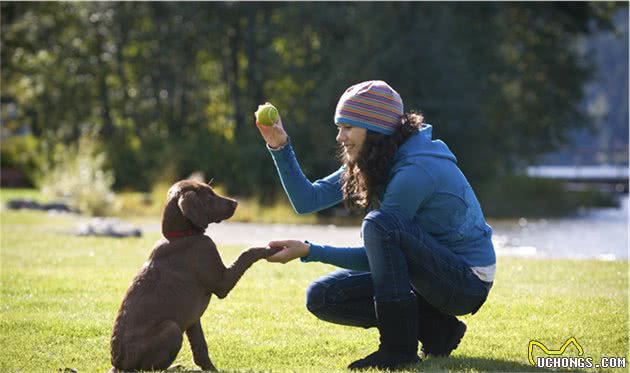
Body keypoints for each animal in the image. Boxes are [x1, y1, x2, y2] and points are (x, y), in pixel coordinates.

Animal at [110, 179, 278, 370]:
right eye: (209, 195)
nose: (235, 203)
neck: (180, 236)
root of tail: (118, 364)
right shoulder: (222, 282)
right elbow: (247, 253)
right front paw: (269, 249)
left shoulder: (192, 319)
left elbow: (200, 347)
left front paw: (210, 369)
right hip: (172, 328)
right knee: (150, 368)